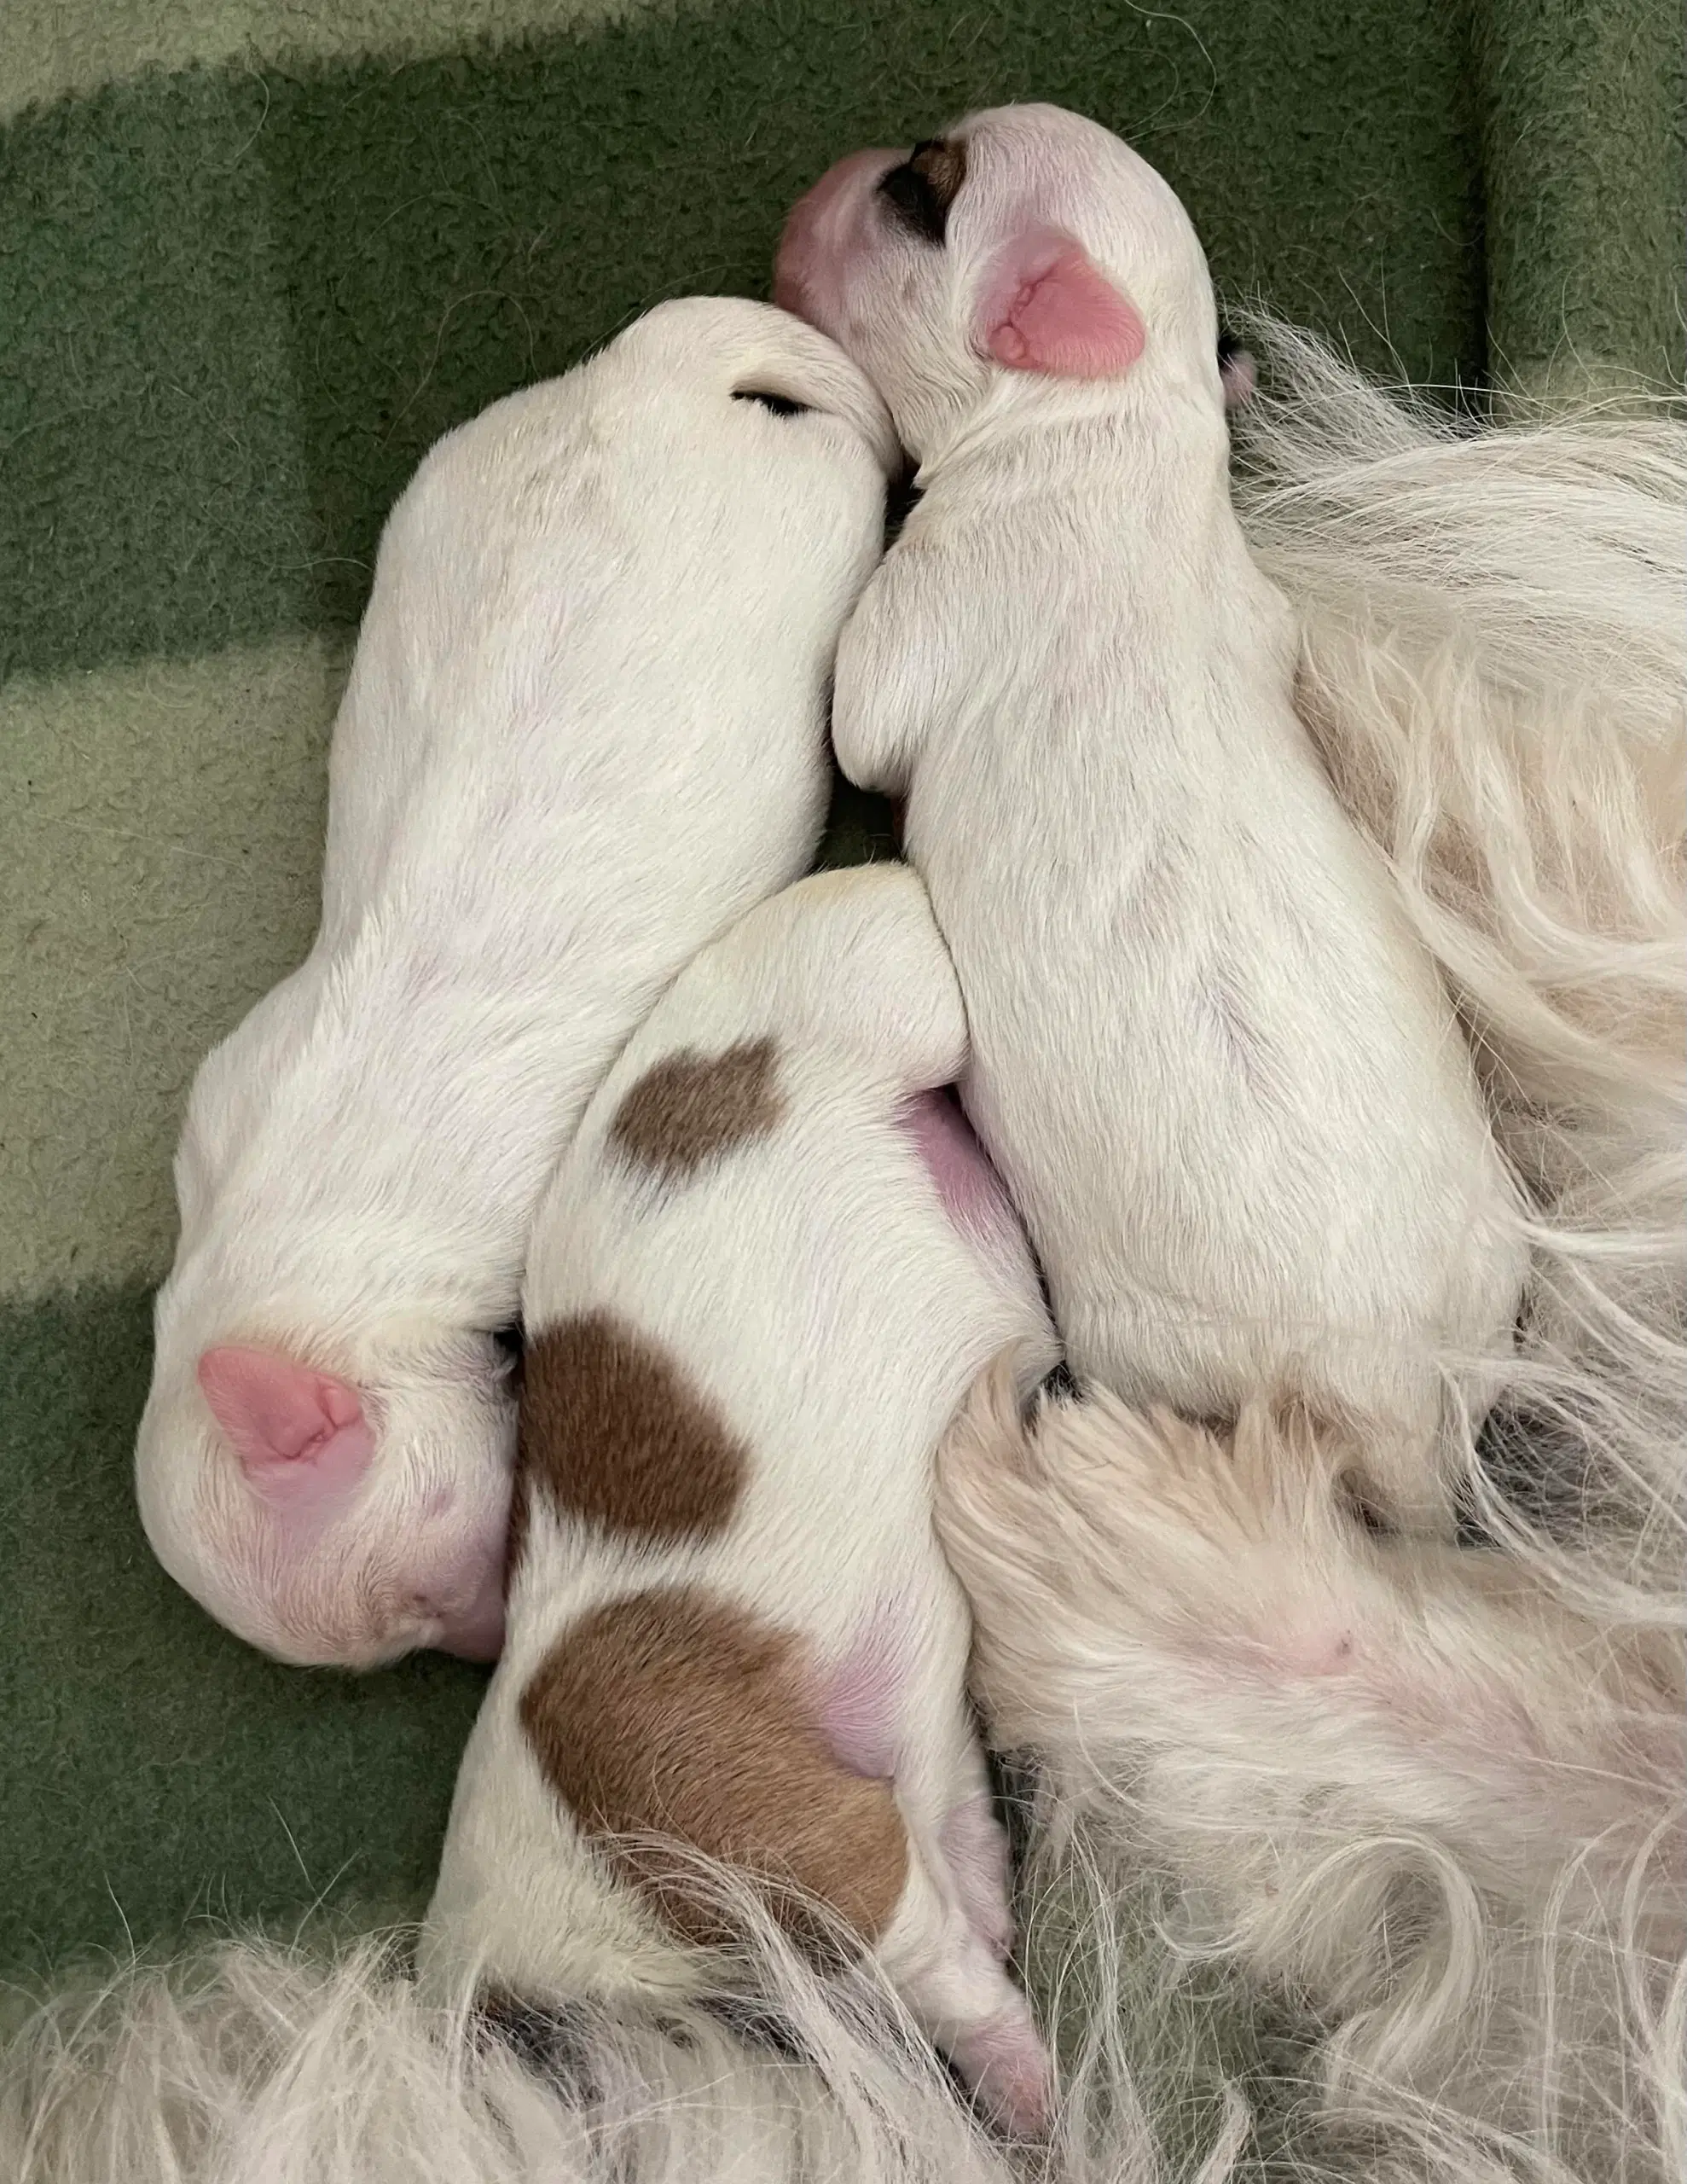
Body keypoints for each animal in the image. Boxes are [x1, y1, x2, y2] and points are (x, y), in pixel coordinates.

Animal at [133, 299, 895, 1659]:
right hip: (474, 459)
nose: (487, 1647)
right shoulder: (221, 1101)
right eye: (417, 1624)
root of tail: (647, 371)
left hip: (810, 513)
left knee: (850, 460)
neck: (283, 1265)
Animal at [419, 864, 1052, 2131]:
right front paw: (995, 1900)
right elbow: (956, 1828)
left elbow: (944, 1974)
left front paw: (1029, 2092)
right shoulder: (910, 1779)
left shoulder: (824, 1859)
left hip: (894, 990)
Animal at [776, 102, 1528, 1529]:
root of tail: (1394, 1412)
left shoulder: (928, 602)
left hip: (1138, 1340)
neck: (1121, 424)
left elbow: (857, 720)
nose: (814, 180)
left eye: (920, 190)